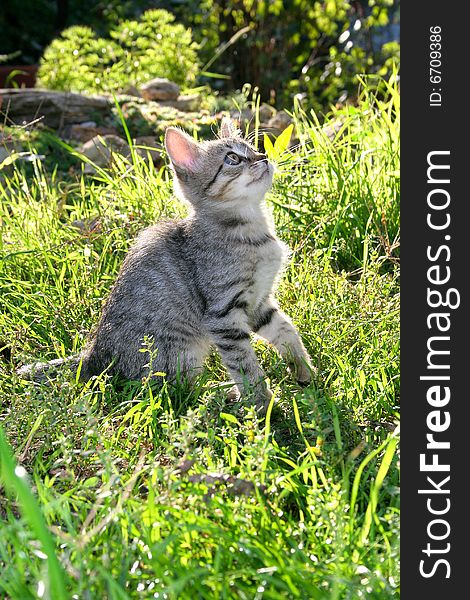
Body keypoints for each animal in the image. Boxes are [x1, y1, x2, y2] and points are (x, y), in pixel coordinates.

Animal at [18, 118, 312, 412]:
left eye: (253, 148)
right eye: (233, 158)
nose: (264, 158)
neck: (253, 233)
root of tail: (93, 356)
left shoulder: (259, 303)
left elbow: (287, 331)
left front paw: (304, 371)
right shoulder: (223, 313)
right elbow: (245, 364)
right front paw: (263, 405)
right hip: (178, 351)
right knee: (179, 393)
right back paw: (222, 395)